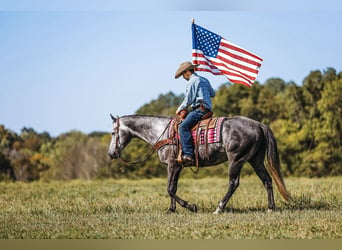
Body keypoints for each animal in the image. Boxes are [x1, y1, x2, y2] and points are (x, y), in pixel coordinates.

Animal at [108, 114, 290, 214]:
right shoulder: (174, 166)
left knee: (233, 183)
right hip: (255, 160)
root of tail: (258, 124)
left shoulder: (173, 165)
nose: (111, 154)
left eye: (113, 133)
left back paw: (219, 208)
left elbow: (170, 189)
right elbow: (172, 188)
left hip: (236, 160)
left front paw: (191, 206)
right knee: (267, 180)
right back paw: (270, 207)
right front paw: (171, 209)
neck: (162, 132)